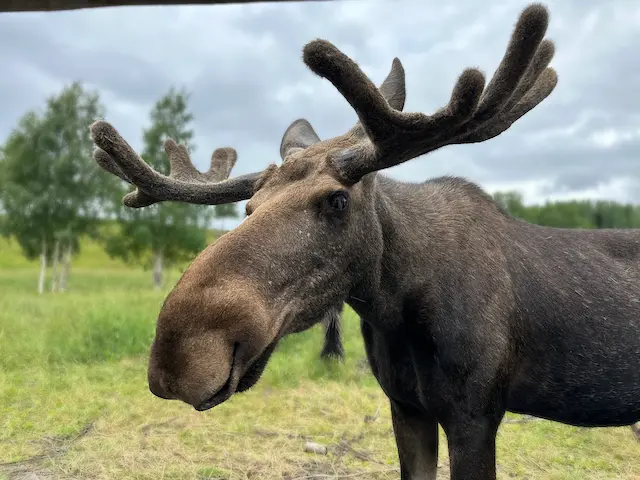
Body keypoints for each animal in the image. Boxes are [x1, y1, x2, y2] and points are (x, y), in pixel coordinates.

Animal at [88, 4, 640, 479]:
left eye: (337, 200)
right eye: (248, 207)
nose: (178, 356)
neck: (394, 308)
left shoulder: (476, 415)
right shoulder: (406, 406)